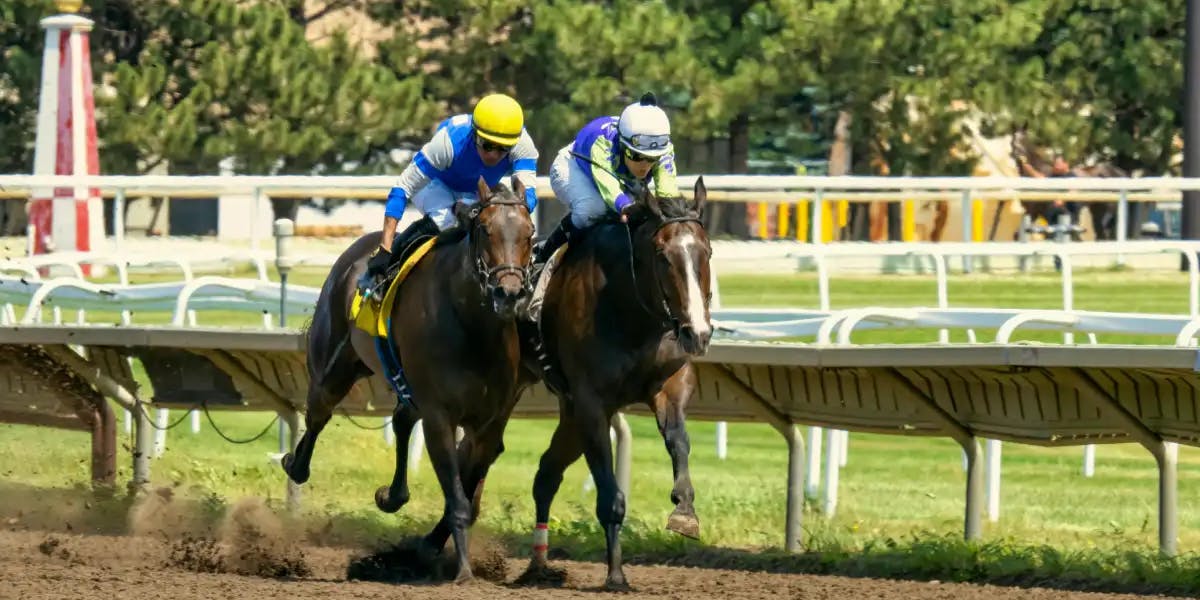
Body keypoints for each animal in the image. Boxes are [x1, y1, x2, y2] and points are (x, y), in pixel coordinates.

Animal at [281, 176, 535, 583]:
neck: (473, 326)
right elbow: (458, 500)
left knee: (401, 418)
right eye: (485, 230)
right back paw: (295, 463)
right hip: (335, 363)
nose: (508, 293)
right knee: (319, 411)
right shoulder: (439, 416)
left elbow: (467, 494)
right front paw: (463, 572)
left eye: (529, 233)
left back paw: (392, 496)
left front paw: (432, 551)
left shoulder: (490, 420)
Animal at [518, 177, 713, 590]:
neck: (632, 311)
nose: (698, 333)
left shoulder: (669, 384)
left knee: (546, 473)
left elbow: (679, 442)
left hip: (569, 413)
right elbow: (610, 494)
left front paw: (685, 511)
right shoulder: (592, 403)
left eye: (707, 251)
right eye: (662, 255)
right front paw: (616, 574)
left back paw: (538, 565)